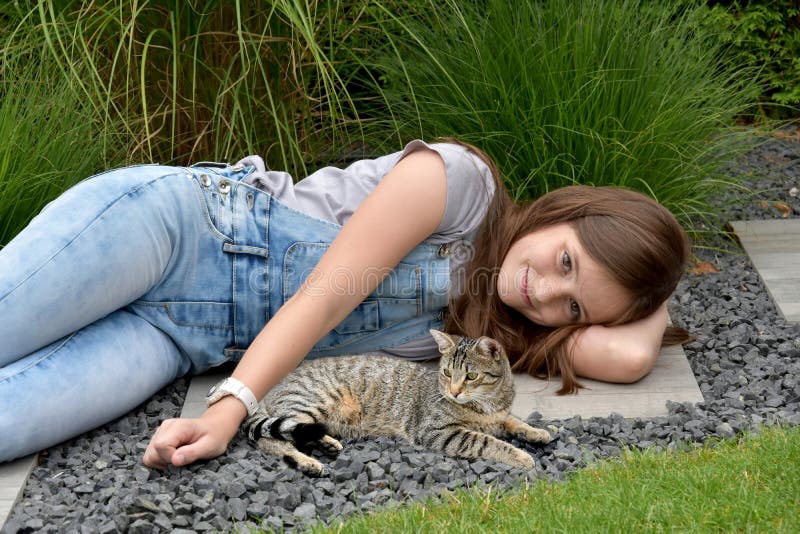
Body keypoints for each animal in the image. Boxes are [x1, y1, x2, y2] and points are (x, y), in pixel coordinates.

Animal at [239, 330, 552, 478]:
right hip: (314, 401)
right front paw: (521, 456)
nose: (454, 391)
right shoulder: (440, 432)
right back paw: (308, 461)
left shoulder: (498, 414)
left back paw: (325, 444)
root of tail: (268, 392)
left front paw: (536, 431)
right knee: (271, 440)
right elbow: (488, 442)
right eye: (447, 372)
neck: (487, 403)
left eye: (471, 376)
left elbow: (512, 420)